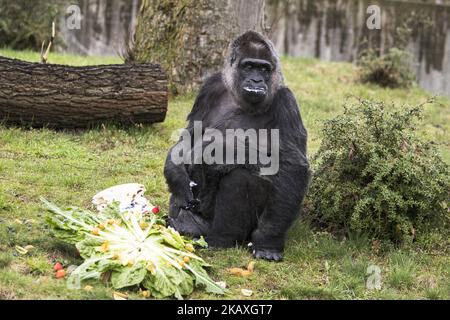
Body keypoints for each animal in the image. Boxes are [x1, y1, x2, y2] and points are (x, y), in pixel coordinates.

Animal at [164, 30, 310, 262]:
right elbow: (190, 135)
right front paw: (175, 173)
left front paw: (268, 241)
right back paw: (190, 223)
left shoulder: (286, 101)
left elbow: (290, 163)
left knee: (240, 176)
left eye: (264, 69)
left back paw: (221, 238)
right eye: (249, 66)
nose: (257, 80)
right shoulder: (210, 87)